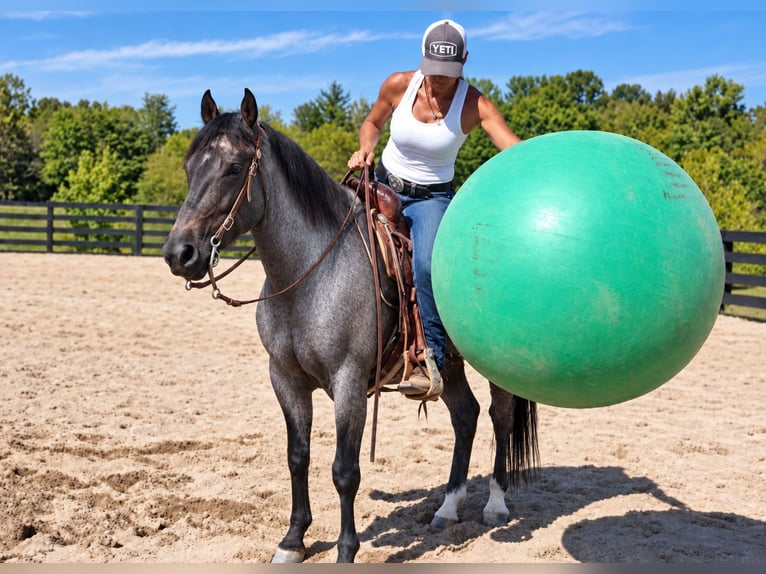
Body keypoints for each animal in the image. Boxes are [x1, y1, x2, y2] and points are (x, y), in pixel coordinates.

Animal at [162, 88, 539, 563]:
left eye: (233, 167)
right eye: (189, 167)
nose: (179, 253)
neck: (310, 273)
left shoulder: (349, 382)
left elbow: (345, 471)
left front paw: (345, 550)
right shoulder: (284, 378)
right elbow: (297, 456)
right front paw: (292, 541)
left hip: (495, 363)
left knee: (500, 417)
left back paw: (495, 504)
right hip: (448, 364)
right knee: (466, 416)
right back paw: (448, 508)